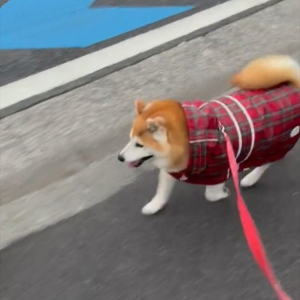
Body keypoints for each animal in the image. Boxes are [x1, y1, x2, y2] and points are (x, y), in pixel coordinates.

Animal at [118, 55, 300, 216]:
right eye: (130, 138)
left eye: (139, 144)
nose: (120, 158)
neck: (190, 138)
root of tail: (293, 86)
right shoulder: (172, 167)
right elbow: (162, 190)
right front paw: (154, 205)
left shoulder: (219, 167)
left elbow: (211, 194)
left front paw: (223, 193)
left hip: (279, 140)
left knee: (268, 161)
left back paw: (251, 178)